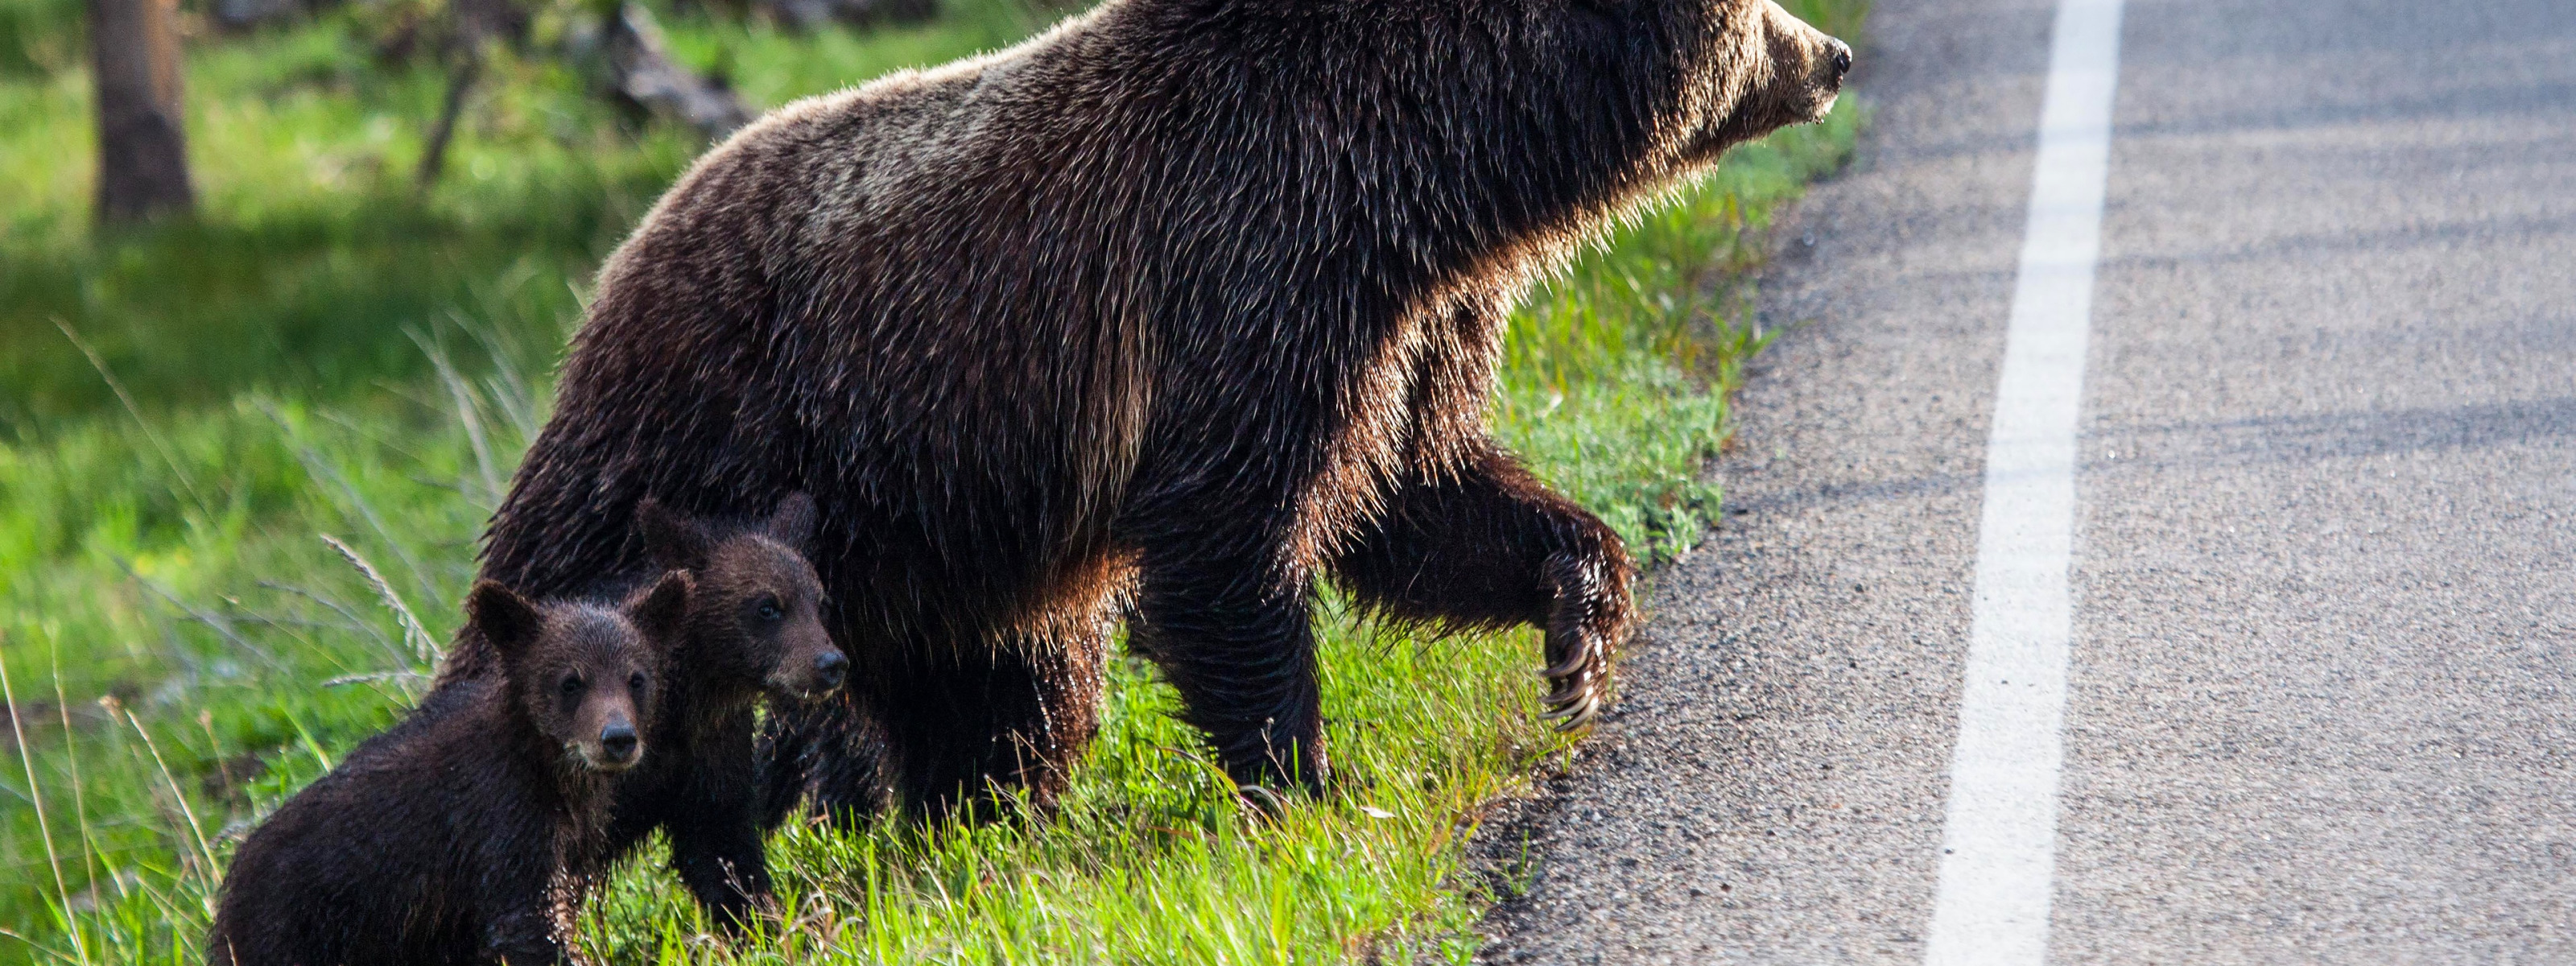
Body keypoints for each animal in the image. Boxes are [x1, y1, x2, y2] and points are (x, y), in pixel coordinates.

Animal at [479, 0, 1855, 819]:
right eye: (1756, 13)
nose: (1835, 56)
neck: (1433, 176)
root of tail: (619, 259)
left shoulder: (1412, 324)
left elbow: (1417, 497)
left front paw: (1579, 627)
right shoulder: (1249, 276)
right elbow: (1233, 543)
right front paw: (1304, 784)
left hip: (937, 547)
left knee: (1009, 695)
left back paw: (976, 823)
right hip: (707, 439)